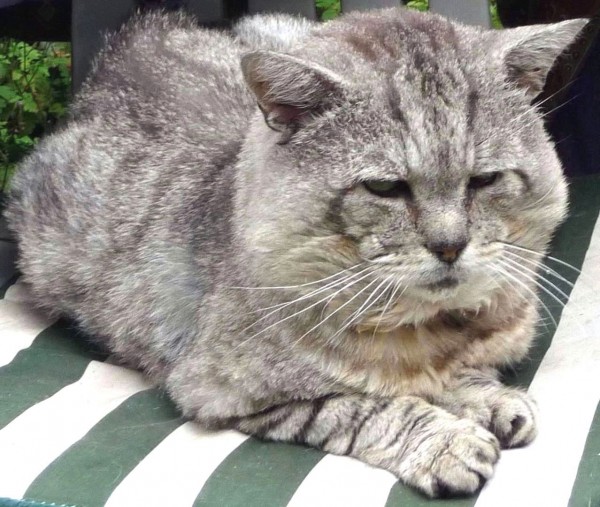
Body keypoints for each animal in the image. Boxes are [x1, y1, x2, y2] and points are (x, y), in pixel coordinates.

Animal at [4, 7, 584, 498]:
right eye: (385, 188)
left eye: (484, 180)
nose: (449, 245)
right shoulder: (233, 392)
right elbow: (373, 407)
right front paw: (445, 441)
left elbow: (459, 374)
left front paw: (487, 395)